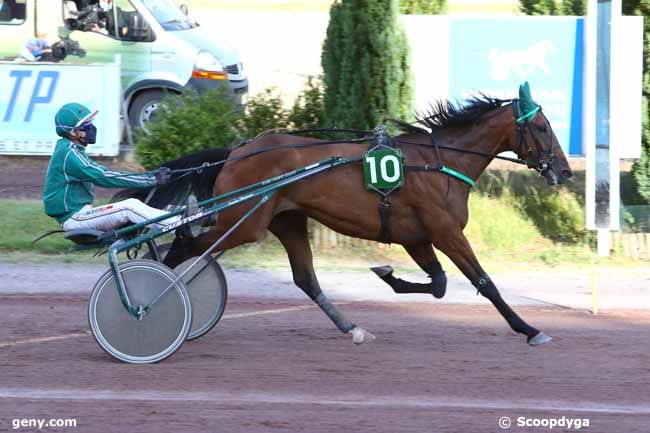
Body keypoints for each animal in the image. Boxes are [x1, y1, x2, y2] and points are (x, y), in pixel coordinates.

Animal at [124, 81, 568, 344]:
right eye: (542, 128)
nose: (563, 170)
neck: (437, 163)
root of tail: (236, 151)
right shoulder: (445, 232)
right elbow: (484, 282)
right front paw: (530, 329)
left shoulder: (416, 236)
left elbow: (440, 284)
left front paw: (387, 274)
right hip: (246, 223)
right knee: (187, 245)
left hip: (286, 220)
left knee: (304, 278)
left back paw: (351, 327)